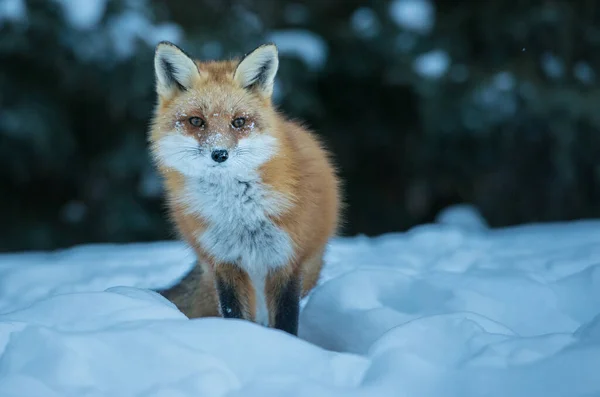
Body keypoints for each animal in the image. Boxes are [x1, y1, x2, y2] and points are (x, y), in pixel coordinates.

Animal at [149, 41, 342, 334]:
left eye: (238, 122)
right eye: (196, 121)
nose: (219, 154)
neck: (239, 214)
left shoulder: (286, 262)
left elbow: (286, 322)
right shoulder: (225, 264)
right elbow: (234, 314)